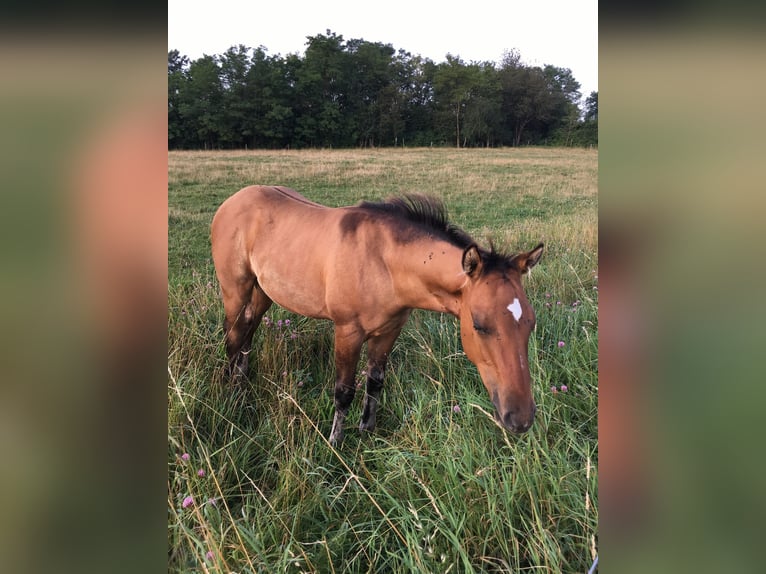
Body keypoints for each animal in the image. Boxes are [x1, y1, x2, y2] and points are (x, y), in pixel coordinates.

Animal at [212, 186, 544, 446]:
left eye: (530, 324)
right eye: (478, 325)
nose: (521, 418)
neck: (382, 262)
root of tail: (232, 201)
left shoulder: (389, 331)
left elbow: (375, 382)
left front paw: (367, 430)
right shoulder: (347, 331)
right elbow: (344, 391)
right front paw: (335, 442)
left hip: (263, 291)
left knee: (248, 328)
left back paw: (242, 380)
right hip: (235, 290)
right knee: (233, 335)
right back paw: (231, 390)